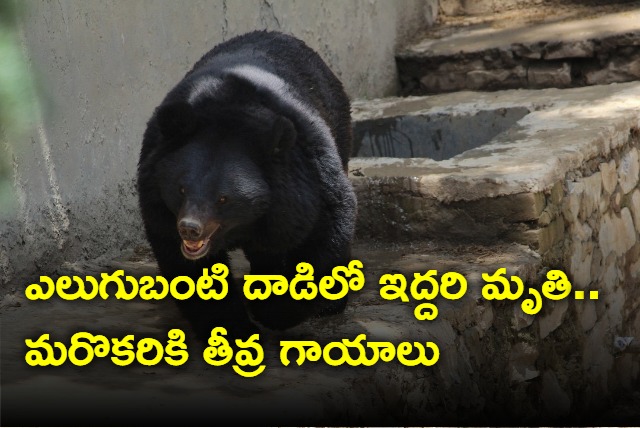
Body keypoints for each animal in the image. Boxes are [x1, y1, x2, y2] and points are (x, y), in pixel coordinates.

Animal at [137, 31, 357, 340]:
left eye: (223, 198)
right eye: (181, 189)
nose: (190, 229)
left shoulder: (308, 179)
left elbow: (324, 232)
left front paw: (276, 313)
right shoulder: (157, 197)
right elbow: (184, 262)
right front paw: (233, 328)